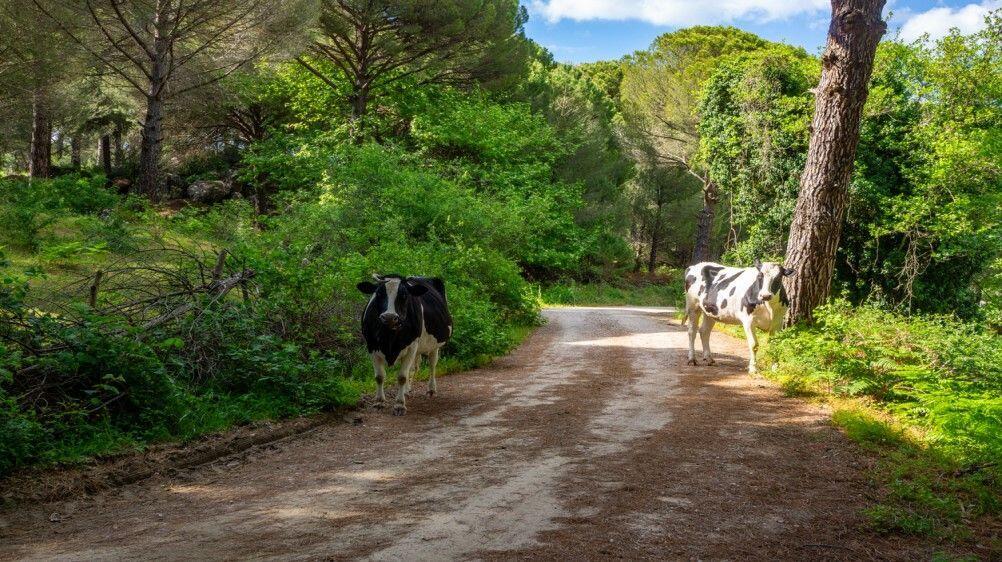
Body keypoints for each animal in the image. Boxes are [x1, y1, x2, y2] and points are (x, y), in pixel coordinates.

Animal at [358, 274, 452, 414]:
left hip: (433, 346)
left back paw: (431, 389)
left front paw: (399, 405)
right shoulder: (372, 346)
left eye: (404, 295)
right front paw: (379, 402)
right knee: (413, 368)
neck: (389, 338)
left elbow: (402, 377)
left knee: (432, 365)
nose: (389, 317)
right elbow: (379, 376)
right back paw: (407, 391)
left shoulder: (411, 346)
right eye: (379, 294)